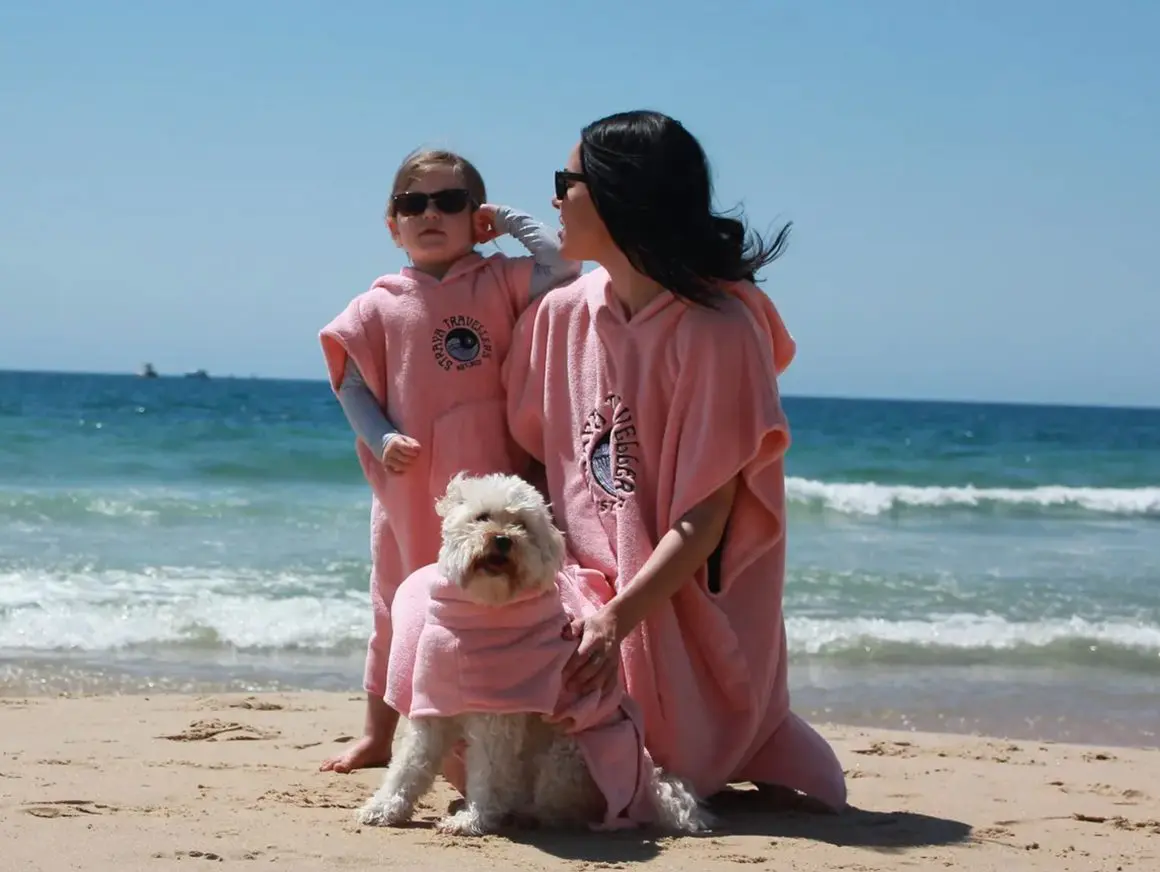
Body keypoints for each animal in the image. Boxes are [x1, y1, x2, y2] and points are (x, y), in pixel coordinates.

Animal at [357, 477, 709, 839]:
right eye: (482, 517)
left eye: (522, 525)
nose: (502, 540)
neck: (482, 610)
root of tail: (650, 782)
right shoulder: (433, 709)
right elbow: (409, 763)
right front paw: (385, 807)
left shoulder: (497, 720)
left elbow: (488, 773)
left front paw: (473, 819)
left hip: (564, 756)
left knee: (557, 807)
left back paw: (523, 815)